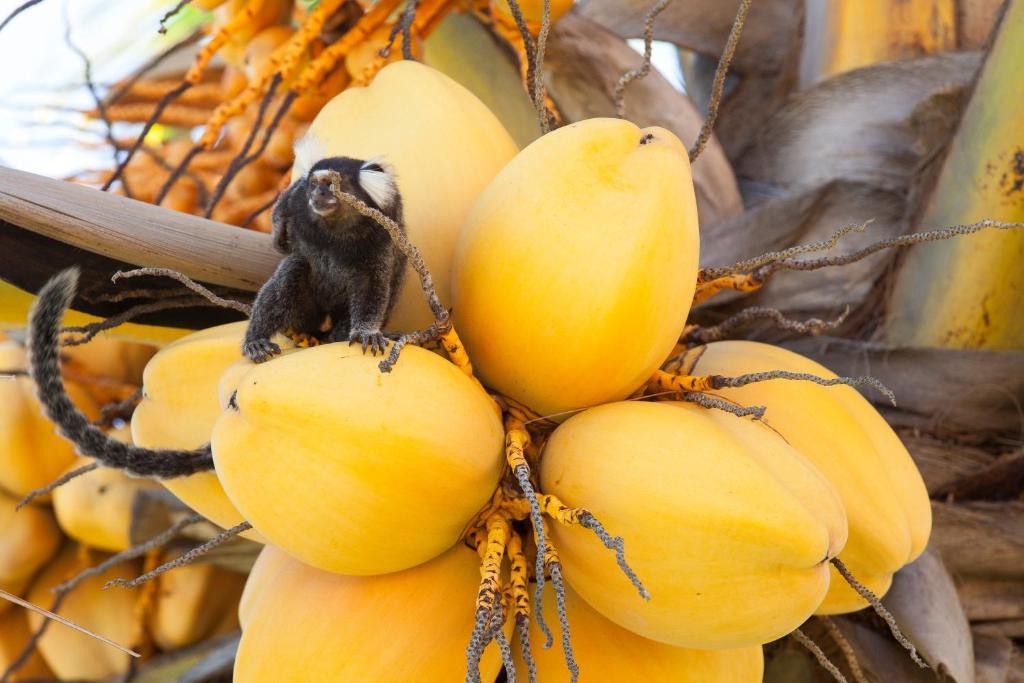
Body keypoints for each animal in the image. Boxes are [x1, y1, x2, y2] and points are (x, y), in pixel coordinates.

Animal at [243, 136, 407, 366]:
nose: (317, 194)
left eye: (331, 184)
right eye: (314, 184)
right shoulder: (296, 200)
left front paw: (366, 332)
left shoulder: (383, 230)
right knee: (292, 269)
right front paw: (280, 236)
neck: (335, 230)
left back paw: (339, 335)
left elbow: (371, 284)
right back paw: (257, 339)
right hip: (306, 315)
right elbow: (282, 214)